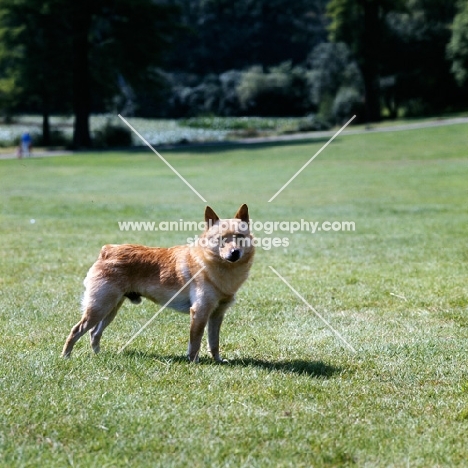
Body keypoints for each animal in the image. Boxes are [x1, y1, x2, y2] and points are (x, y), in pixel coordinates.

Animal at [61, 204, 256, 362]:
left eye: (240, 236)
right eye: (221, 239)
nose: (234, 253)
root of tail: (107, 250)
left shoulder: (217, 314)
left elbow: (213, 341)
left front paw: (217, 360)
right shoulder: (199, 312)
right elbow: (195, 342)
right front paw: (194, 362)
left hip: (110, 308)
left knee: (94, 332)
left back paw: (98, 355)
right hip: (99, 307)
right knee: (76, 330)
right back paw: (65, 356)